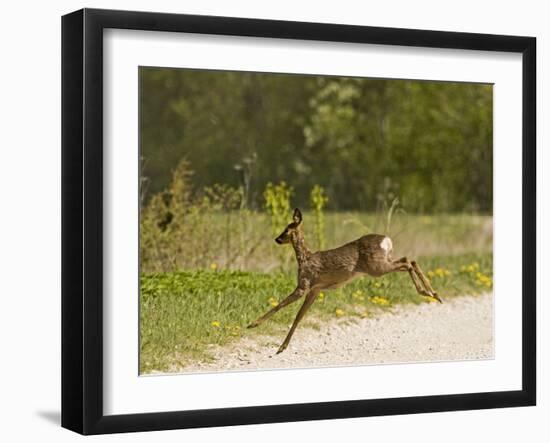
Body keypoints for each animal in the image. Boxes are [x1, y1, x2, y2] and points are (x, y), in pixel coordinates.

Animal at [248, 210, 442, 356]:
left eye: (287, 229)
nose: (277, 239)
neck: (305, 259)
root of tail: (386, 240)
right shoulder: (315, 290)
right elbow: (298, 317)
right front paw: (282, 347)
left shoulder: (304, 285)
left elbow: (280, 305)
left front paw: (253, 324)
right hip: (383, 262)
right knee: (409, 260)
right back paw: (434, 294)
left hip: (376, 267)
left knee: (407, 262)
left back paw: (428, 293)